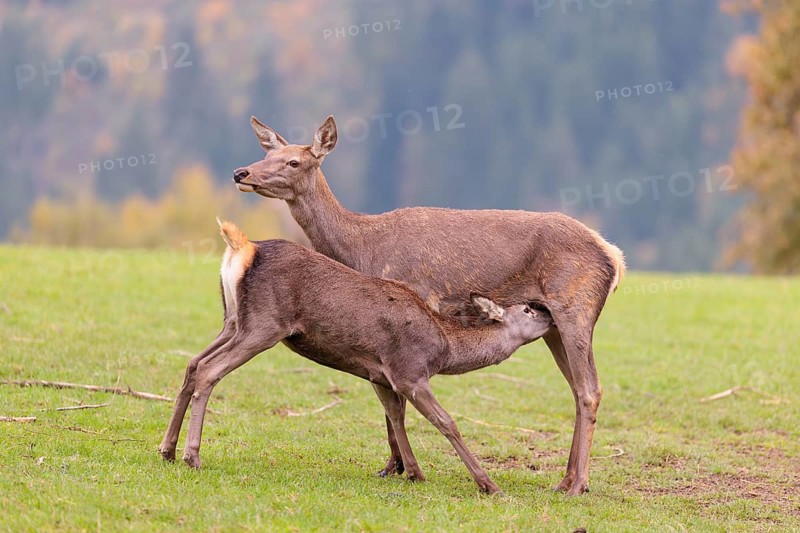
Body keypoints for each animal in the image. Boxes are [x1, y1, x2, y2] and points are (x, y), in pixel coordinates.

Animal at [158, 219, 554, 494]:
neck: (443, 350)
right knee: (209, 370)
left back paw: (167, 449)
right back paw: (192, 456)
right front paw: (487, 484)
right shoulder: (410, 370)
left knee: (192, 364)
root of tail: (243, 247)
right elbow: (445, 422)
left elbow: (396, 418)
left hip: (232, 320)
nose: (550, 313)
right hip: (263, 324)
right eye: (527, 310)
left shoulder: (381, 375)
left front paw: (413, 472)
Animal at [221, 115, 627, 496]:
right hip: (553, 325)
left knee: (590, 389)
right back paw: (567, 479)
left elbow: (394, 399)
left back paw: (578, 484)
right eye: (265, 155)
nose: (241, 172)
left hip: (575, 308)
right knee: (576, 388)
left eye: (293, 162)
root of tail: (614, 257)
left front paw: (399, 466)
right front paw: (392, 466)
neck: (361, 250)